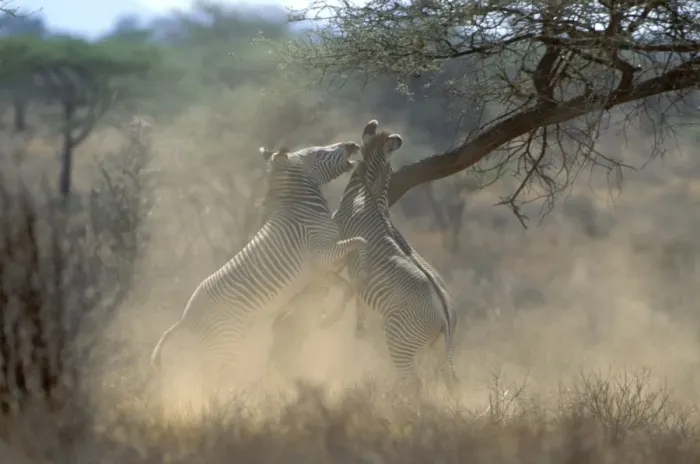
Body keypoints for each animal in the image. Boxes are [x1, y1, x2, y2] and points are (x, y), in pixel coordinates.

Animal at [149, 141, 367, 393]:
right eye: (319, 153)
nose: (352, 145)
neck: (305, 210)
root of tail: (185, 318)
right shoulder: (322, 254)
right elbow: (360, 242)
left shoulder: (320, 273)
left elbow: (347, 288)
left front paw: (330, 318)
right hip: (225, 344)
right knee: (211, 380)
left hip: (217, 347)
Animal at [321, 119, 460, 394]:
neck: (368, 193)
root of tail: (444, 318)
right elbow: (356, 297)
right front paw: (358, 330)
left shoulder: (338, 236)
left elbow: (343, 284)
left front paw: (329, 318)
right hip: (441, 351)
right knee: (451, 381)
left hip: (400, 341)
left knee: (414, 383)